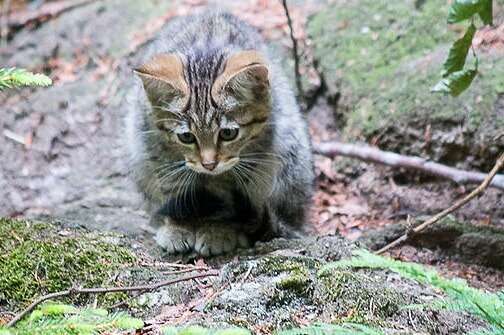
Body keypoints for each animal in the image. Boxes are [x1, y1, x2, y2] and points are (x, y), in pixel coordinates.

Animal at [126, 11, 314, 258]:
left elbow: (231, 199)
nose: (209, 164)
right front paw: (177, 226)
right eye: (186, 137)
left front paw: (218, 230)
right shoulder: (155, 145)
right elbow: (174, 188)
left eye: (228, 134)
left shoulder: (253, 159)